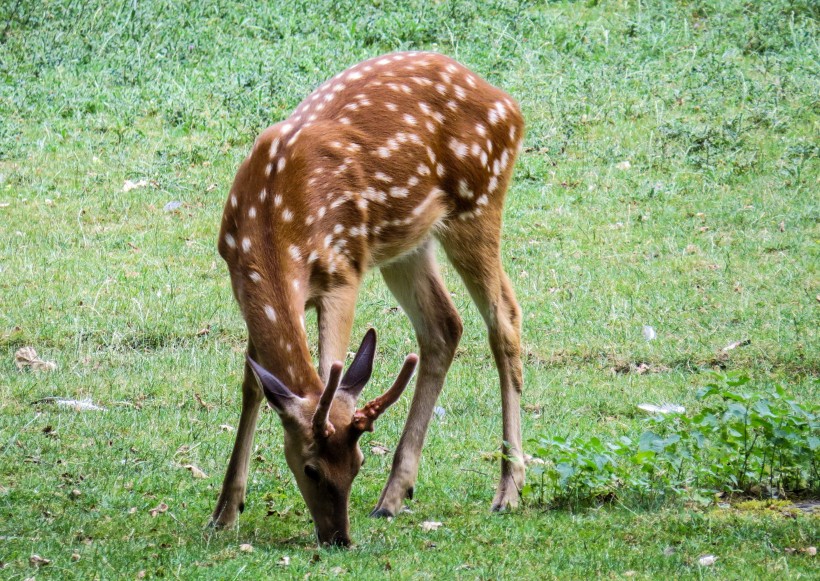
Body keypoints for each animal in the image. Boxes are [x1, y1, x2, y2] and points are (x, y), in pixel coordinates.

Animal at [213, 49, 524, 544]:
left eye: (357, 464)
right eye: (311, 468)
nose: (338, 538)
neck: (273, 231)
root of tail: (510, 107)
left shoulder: (343, 271)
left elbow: (327, 368)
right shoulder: (241, 281)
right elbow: (253, 384)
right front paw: (225, 511)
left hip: (477, 204)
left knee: (504, 320)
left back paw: (509, 490)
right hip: (408, 244)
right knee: (444, 325)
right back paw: (393, 496)